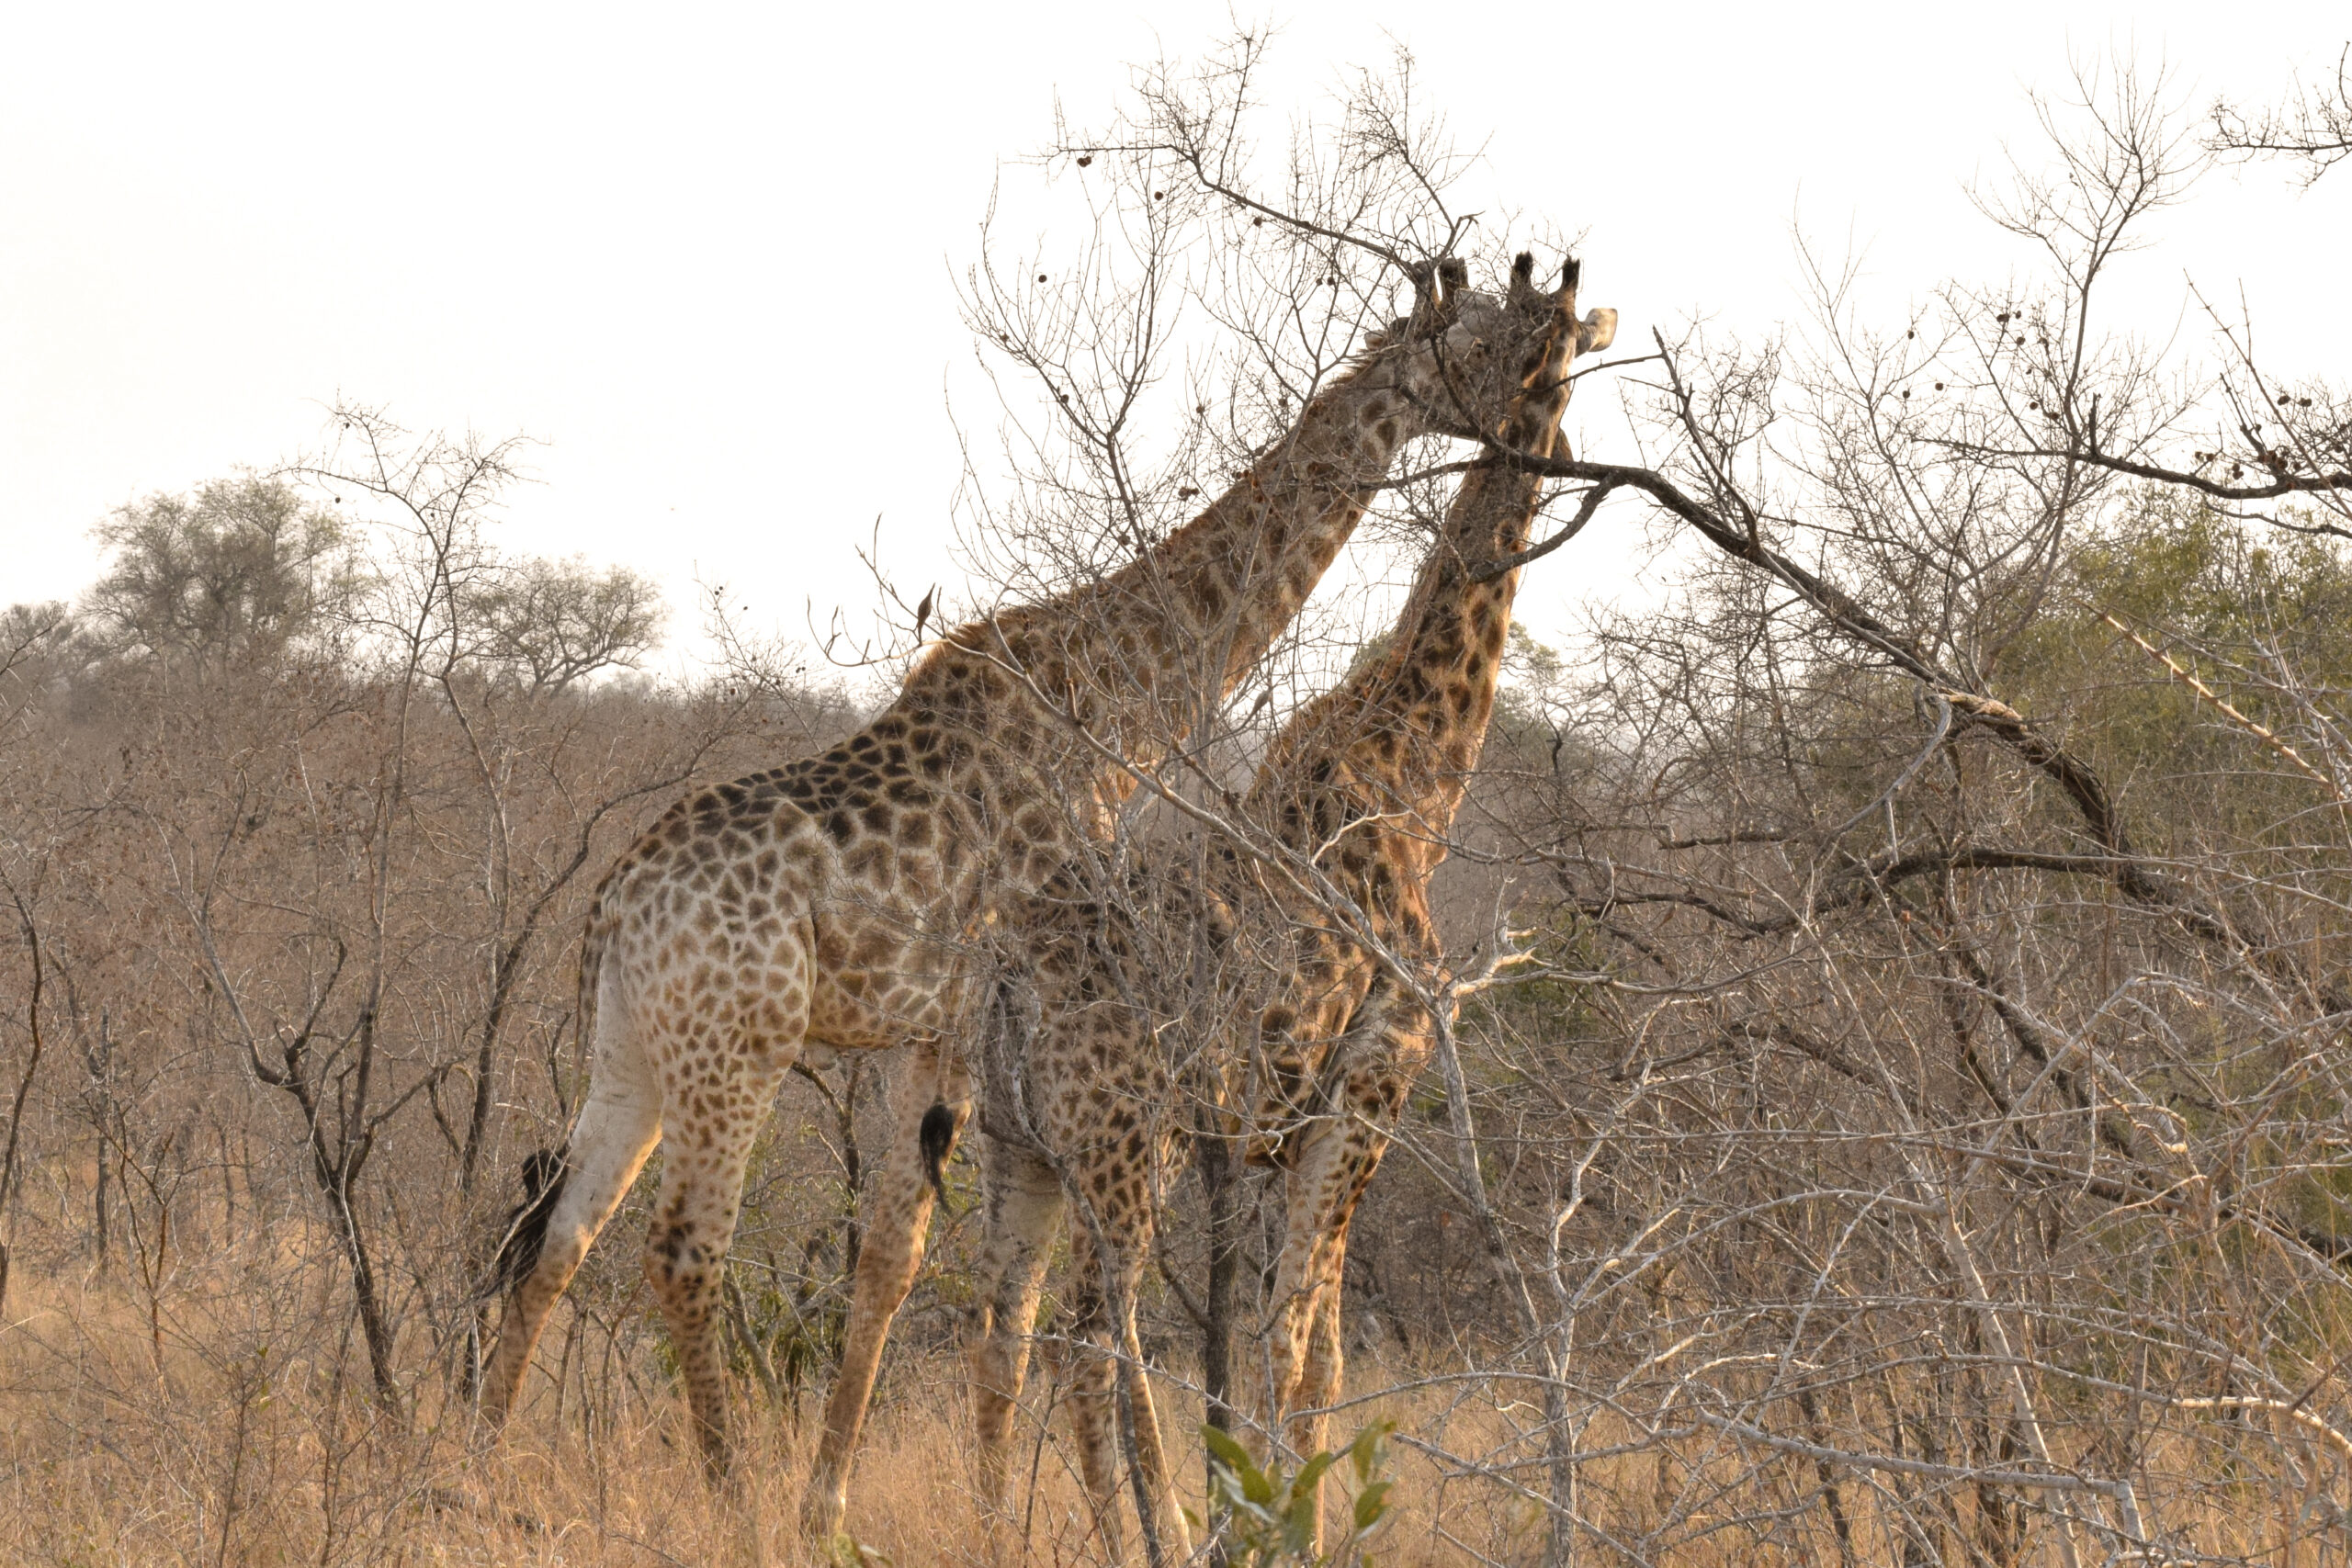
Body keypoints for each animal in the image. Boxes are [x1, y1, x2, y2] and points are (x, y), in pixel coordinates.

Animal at [477, 261, 1561, 1504]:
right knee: (684, 1253)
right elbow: (963, 1276)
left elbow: (897, 1260)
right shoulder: (1015, 972)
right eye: (1476, 345)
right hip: (737, 1046)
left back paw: (469, 1473)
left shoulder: (940, 1020)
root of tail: (613, 906)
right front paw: (836, 1505)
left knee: (561, 1237)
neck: (1120, 703)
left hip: (634, 1048)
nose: (1515, 420)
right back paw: (733, 1502)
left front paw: (838, 1503)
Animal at [945, 254, 1609, 1561]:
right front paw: (1287, 1529)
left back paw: (1003, 1533)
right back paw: (1147, 1534)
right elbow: (1299, 1349)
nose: (1528, 431)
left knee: (1008, 1334)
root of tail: (1007, 980)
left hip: (1020, 1145)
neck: (1415, 779)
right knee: (1094, 1334)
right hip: (1124, 1143)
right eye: (1491, 342)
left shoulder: (1282, 1126)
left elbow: (1304, 1350)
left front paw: (1279, 1515)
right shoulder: (1372, 1080)